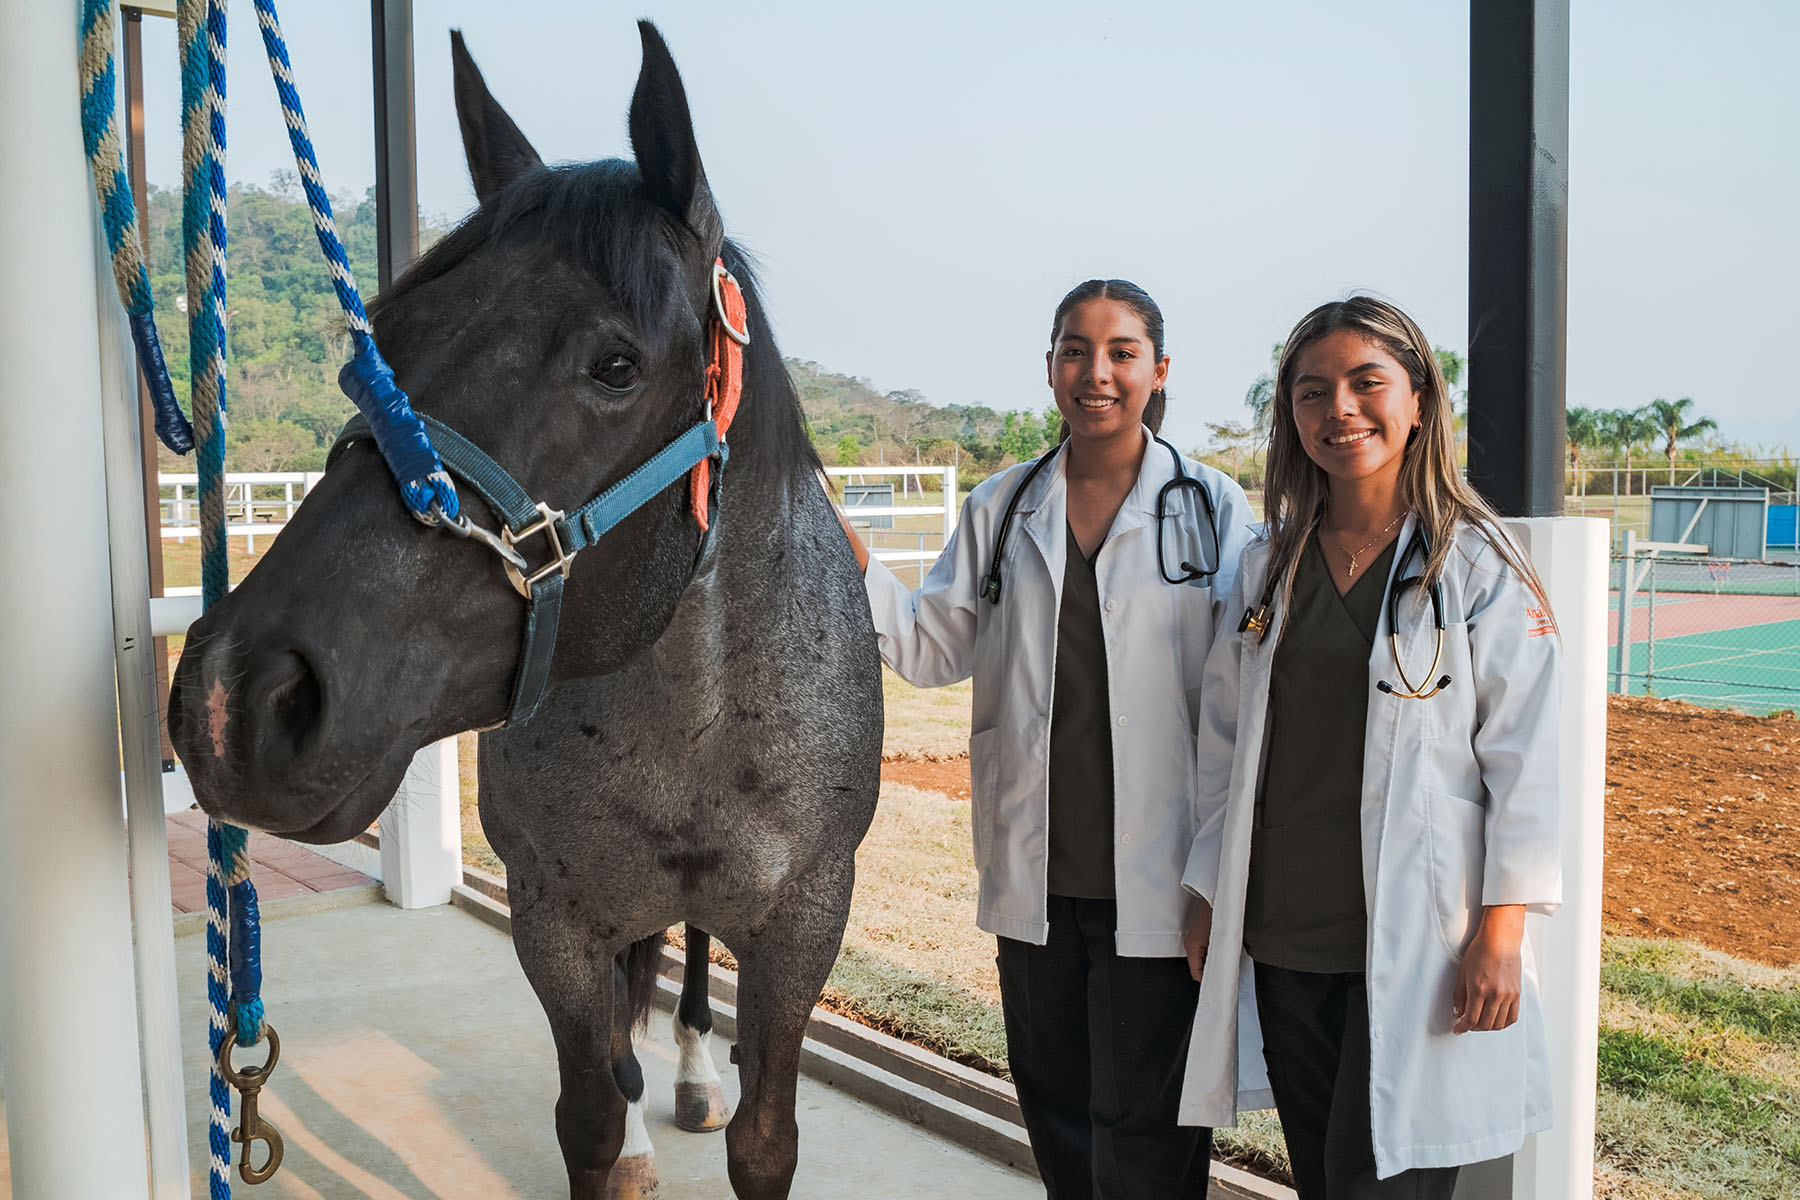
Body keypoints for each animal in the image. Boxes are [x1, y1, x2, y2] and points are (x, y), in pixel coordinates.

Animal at [165, 23, 882, 1194]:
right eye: (384, 340)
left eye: (616, 364)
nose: (237, 700)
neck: (692, 727)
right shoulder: (553, 919)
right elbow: (590, 1110)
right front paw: (622, 1142)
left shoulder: (805, 926)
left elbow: (763, 1136)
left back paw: (692, 1072)